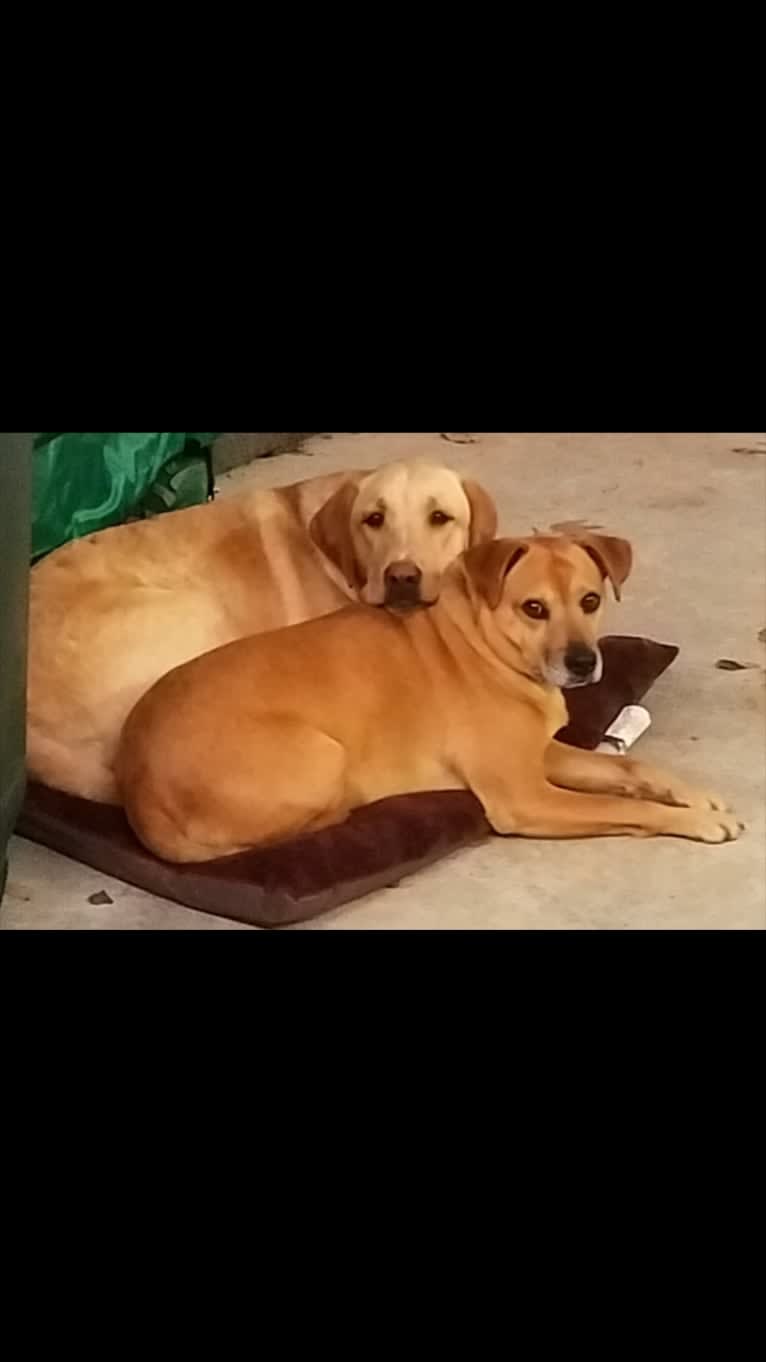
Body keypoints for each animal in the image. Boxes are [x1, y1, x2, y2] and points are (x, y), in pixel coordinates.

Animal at [114, 531, 741, 860]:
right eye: (533, 608)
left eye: (590, 600)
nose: (584, 664)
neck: (488, 642)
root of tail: (136, 791)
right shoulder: (525, 797)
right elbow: (623, 807)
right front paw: (691, 822)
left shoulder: (541, 757)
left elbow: (630, 766)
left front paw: (693, 796)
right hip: (321, 755)